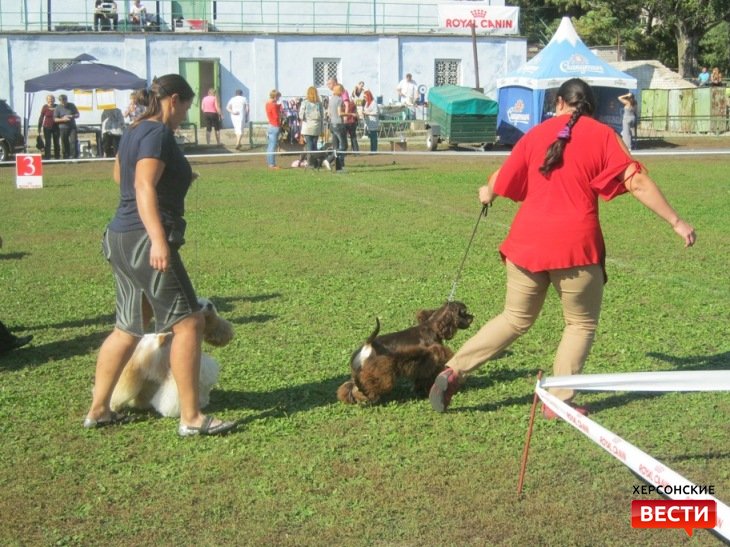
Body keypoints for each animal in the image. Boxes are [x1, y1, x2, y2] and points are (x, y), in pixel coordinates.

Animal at [336, 302, 472, 404]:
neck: (433, 328)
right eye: (464, 312)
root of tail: (368, 345)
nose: (472, 317)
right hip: (378, 372)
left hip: (359, 372)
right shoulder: (431, 360)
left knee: (351, 386)